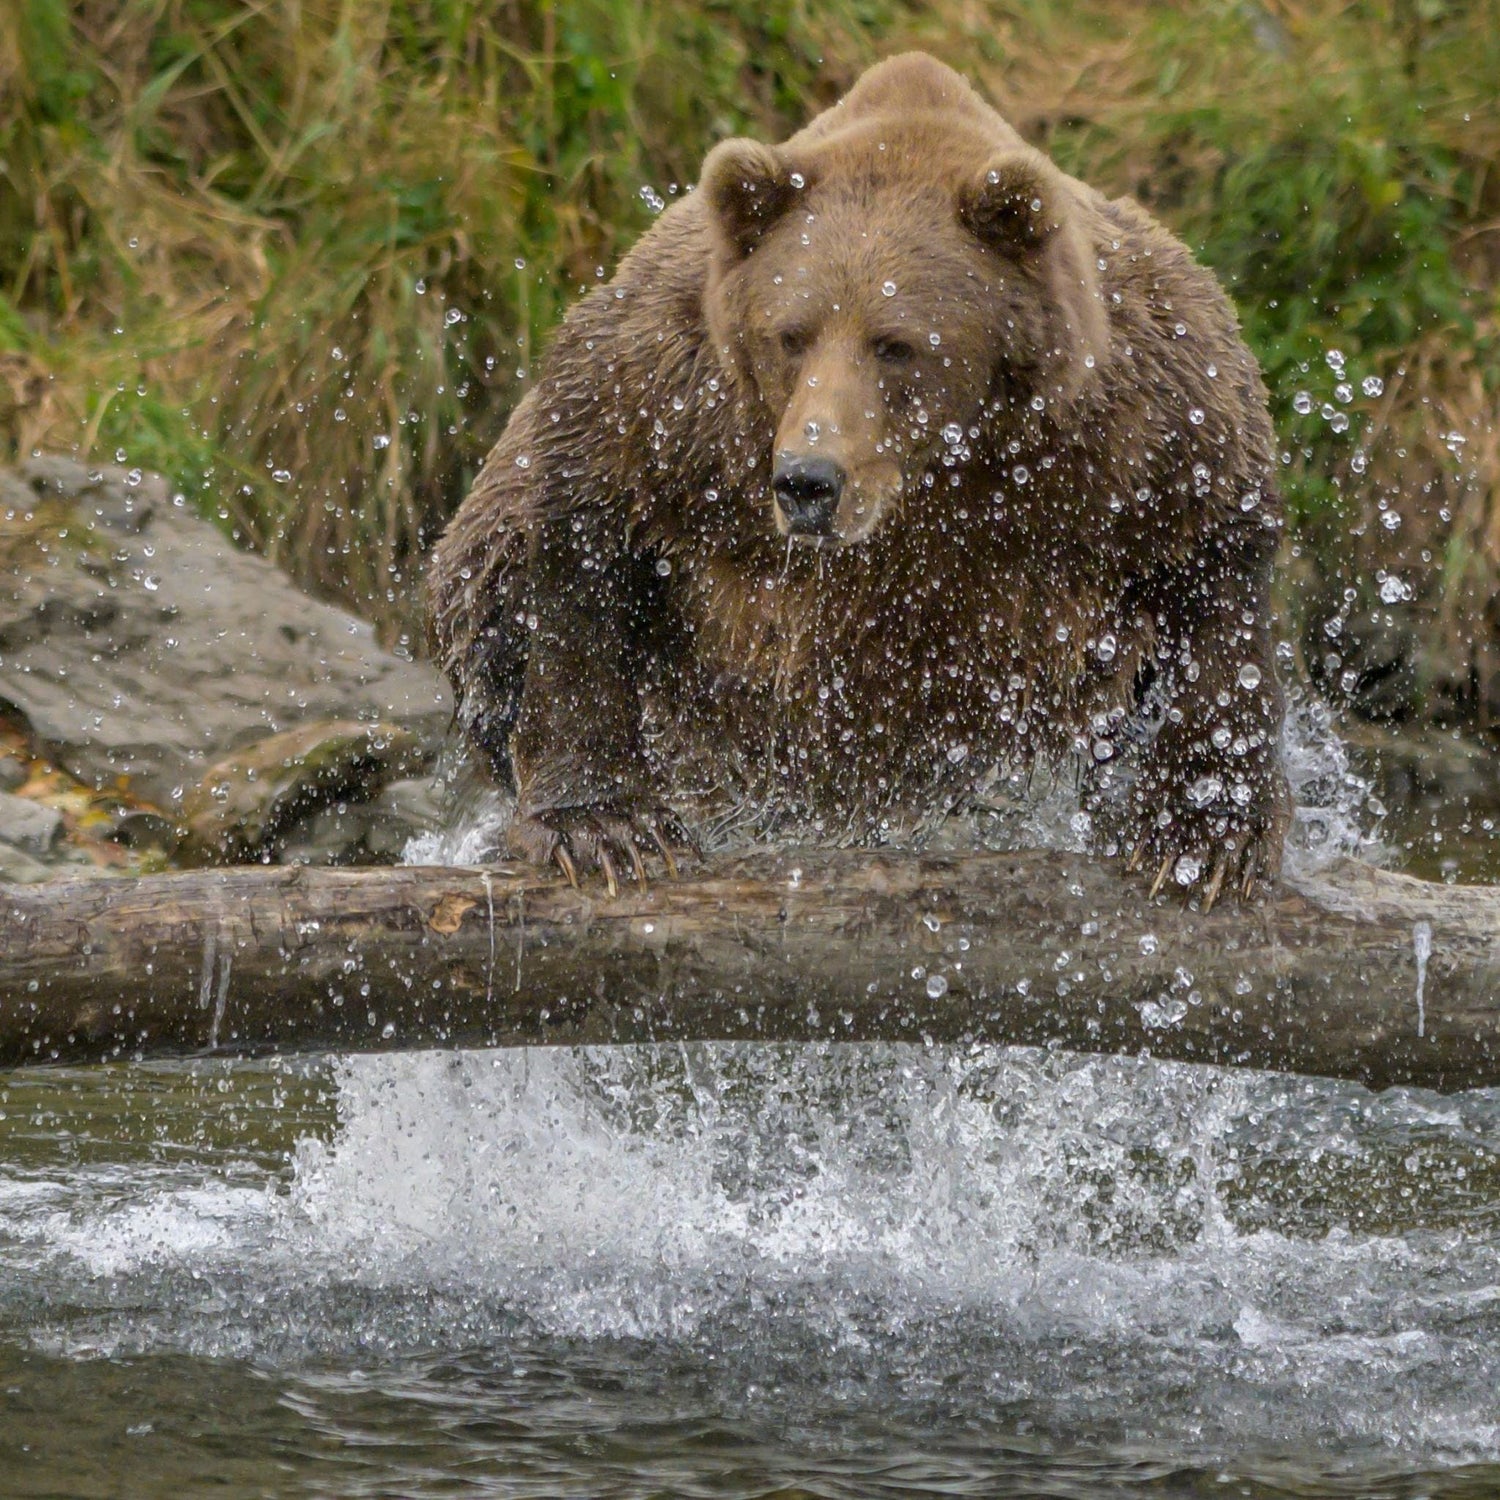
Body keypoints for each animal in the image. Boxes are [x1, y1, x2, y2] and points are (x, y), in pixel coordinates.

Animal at [427, 52, 1288, 907]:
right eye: (790, 334)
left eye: (896, 343)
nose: (808, 480)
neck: (940, 475)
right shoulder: (675, 406)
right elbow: (585, 538)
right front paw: (606, 828)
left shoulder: (1137, 432)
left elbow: (1217, 575)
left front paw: (1205, 831)